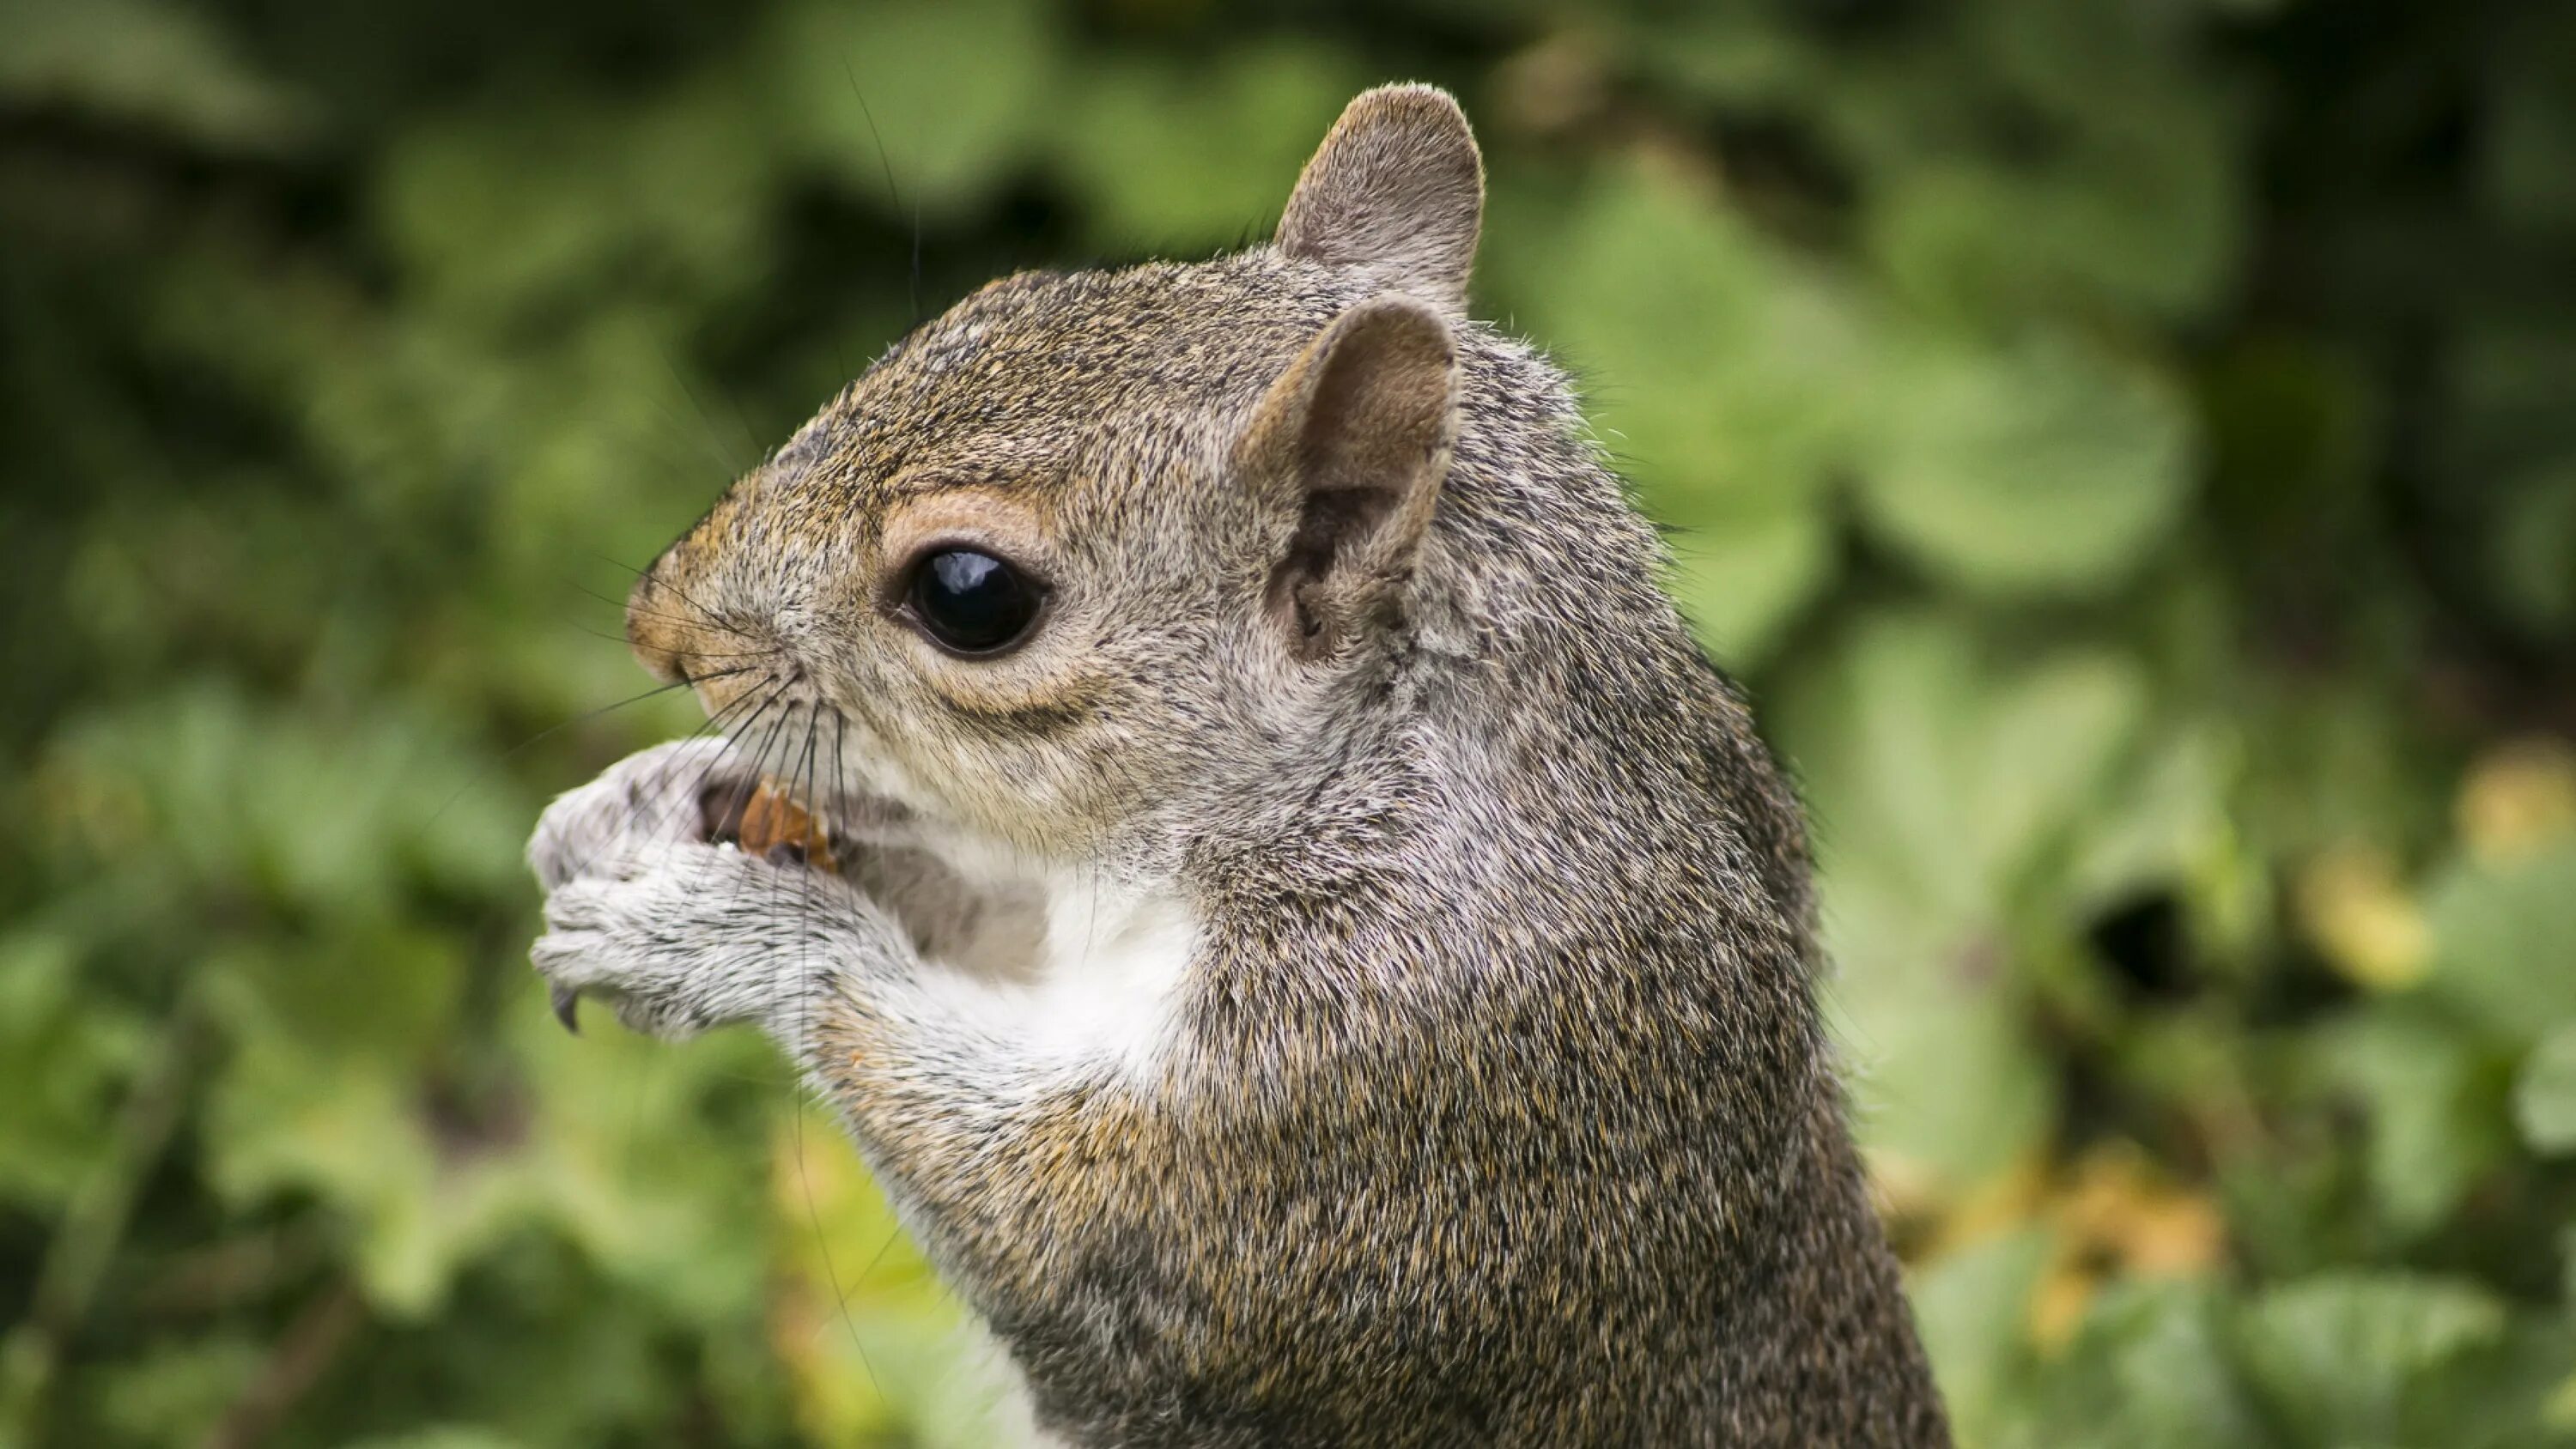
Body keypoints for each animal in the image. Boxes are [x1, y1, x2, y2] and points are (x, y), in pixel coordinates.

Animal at [528, 82, 1947, 1449]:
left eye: (969, 593)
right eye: (984, 307)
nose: (659, 629)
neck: (1318, 802)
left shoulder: (1364, 1105)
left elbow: (1043, 1222)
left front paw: (727, 932)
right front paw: (654, 798)